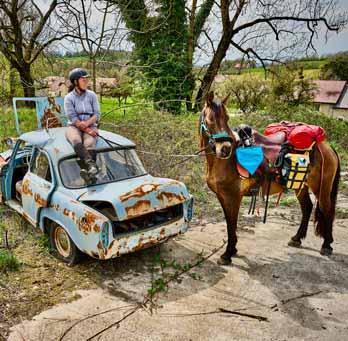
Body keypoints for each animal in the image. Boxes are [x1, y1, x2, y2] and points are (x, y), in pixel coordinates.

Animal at [200, 93, 342, 266]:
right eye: (210, 119)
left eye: (226, 118)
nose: (225, 149)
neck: (225, 162)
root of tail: (327, 147)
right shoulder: (222, 197)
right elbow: (230, 224)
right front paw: (232, 250)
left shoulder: (233, 197)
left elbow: (231, 224)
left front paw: (227, 254)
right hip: (301, 185)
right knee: (307, 207)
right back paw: (297, 238)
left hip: (321, 188)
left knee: (327, 210)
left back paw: (327, 245)